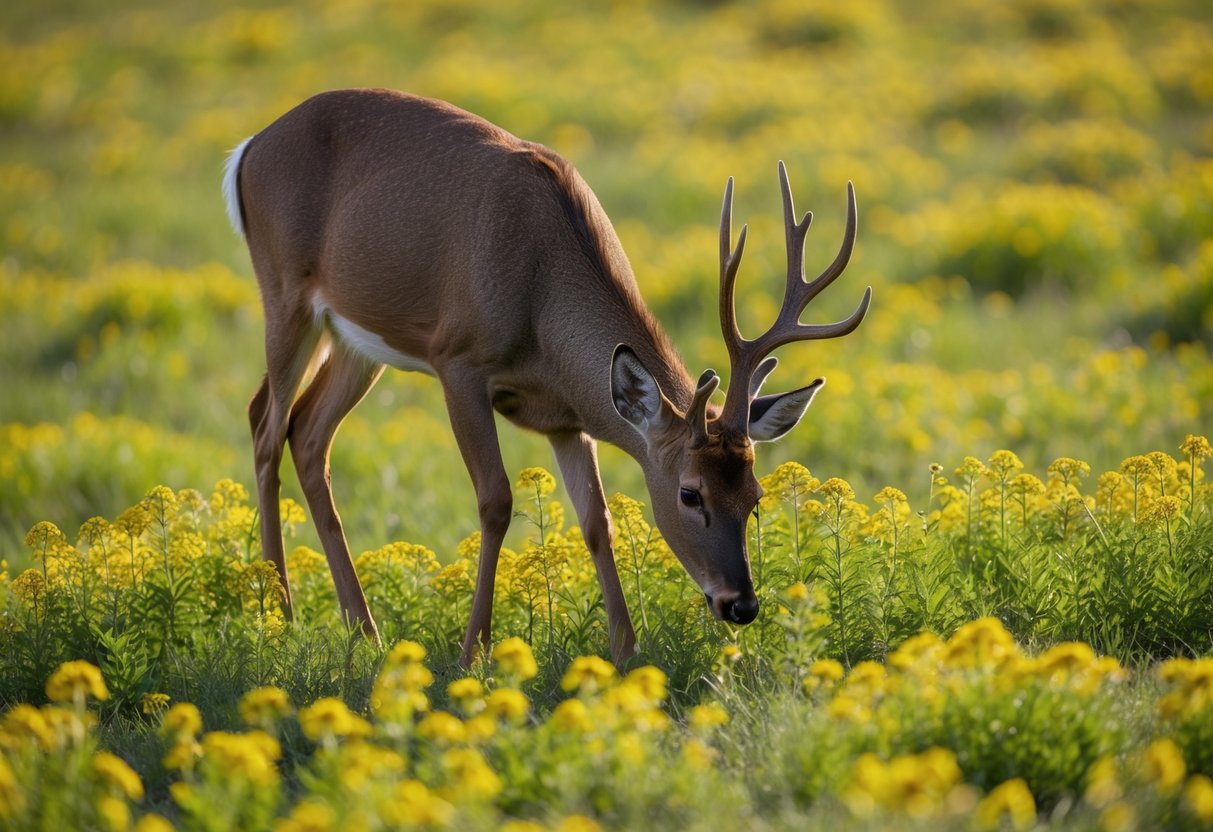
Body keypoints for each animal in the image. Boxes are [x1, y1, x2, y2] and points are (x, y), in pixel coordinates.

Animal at [223, 87, 868, 669]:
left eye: (756, 497)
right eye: (691, 493)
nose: (741, 605)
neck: (542, 305)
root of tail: (249, 148)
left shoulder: (567, 416)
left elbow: (597, 521)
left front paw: (627, 650)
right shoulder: (457, 358)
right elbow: (496, 501)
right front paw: (473, 652)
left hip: (356, 340)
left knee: (307, 434)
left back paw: (365, 632)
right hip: (284, 289)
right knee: (265, 424)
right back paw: (279, 615)